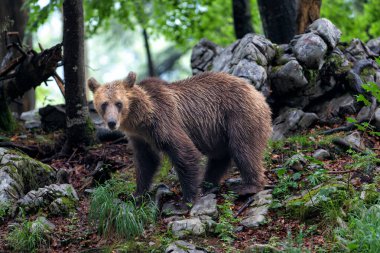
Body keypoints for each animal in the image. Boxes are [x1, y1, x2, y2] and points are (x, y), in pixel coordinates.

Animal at [88, 72, 274, 203]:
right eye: (104, 104)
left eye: (119, 103)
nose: (112, 123)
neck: (140, 119)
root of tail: (258, 94)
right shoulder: (140, 138)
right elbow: (146, 162)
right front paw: (136, 193)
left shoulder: (163, 121)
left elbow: (184, 151)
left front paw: (188, 198)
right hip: (219, 130)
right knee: (219, 157)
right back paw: (208, 184)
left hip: (239, 115)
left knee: (244, 149)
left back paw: (248, 186)